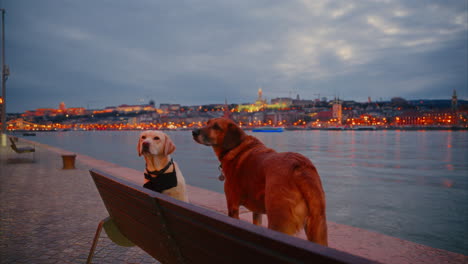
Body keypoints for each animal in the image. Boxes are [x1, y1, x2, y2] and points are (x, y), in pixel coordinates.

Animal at [192, 117, 328, 245]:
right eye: (207, 123)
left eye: (216, 127)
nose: (194, 131)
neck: (237, 147)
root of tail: (300, 167)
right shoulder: (257, 211)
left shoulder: (232, 206)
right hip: (318, 226)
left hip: (279, 222)